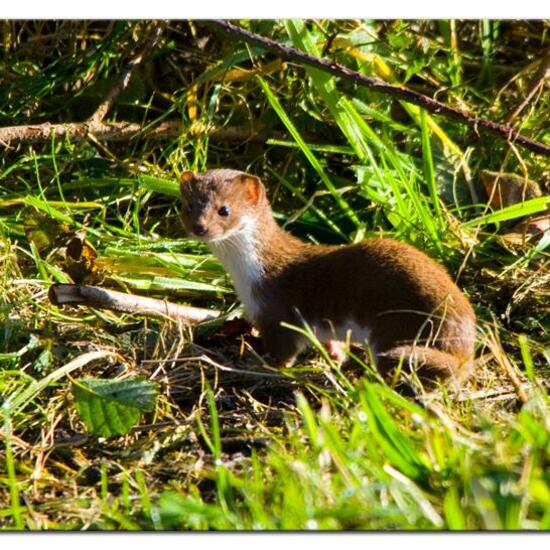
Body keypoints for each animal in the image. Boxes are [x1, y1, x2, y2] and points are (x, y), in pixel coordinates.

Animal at [181, 170, 478, 390]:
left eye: (224, 209)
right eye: (189, 206)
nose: (199, 227)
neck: (245, 275)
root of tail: (464, 347)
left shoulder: (275, 312)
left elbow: (284, 352)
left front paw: (256, 365)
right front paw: (335, 354)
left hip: (397, 330)